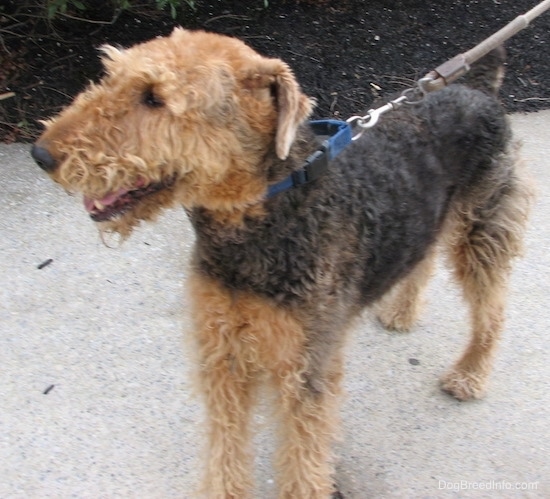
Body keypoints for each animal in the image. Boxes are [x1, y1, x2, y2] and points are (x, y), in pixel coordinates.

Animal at [32, 29, 532, 498]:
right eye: (112, 76)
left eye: (154, 97)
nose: (42, 155)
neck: (259, 216)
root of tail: (477, 88)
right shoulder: (223, 353)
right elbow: (225, 449)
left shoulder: (303, 370)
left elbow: (303, 463)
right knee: (423, 262)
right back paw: (400, 313)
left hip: (484, 232)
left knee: (492, 310)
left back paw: (468, 376)